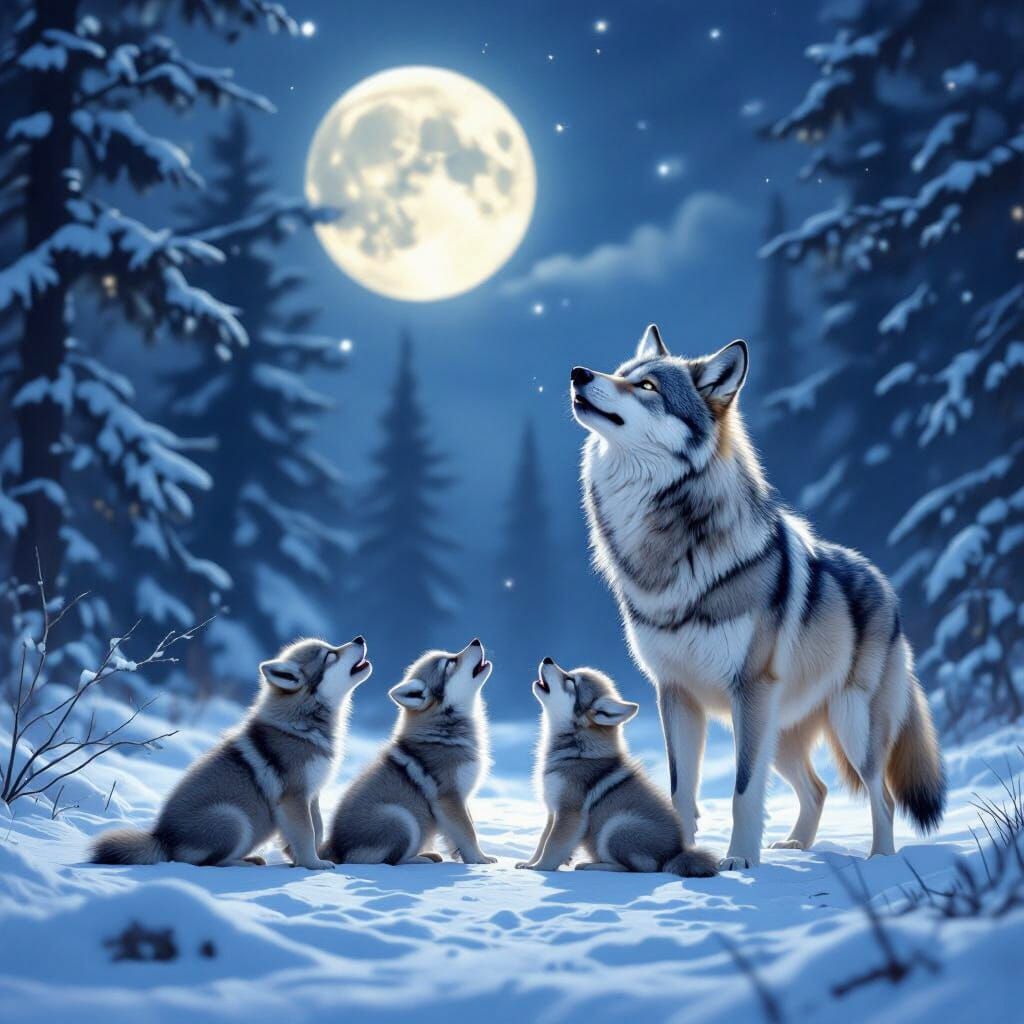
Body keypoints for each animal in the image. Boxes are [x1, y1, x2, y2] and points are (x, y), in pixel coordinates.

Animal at [90, 636, 371, 868]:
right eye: (329, 655)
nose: (360, 638)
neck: (303, 723)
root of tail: (161, 838)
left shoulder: (312, 796)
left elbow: (318, 830)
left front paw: (299, 859)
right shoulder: (294, 797)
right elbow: (307, 833)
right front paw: (313, 865)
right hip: (233, 818)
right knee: (207, 863)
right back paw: (244, 864)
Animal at [323, 639, 496, 865]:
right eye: (450, 663)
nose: (476, 641)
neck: (444, 729)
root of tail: (335, 847)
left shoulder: (460, 800)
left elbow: (461, 833)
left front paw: (466, 856)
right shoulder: (449, 797)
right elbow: (468, 833)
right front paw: (479, 860)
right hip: (401, 819)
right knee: (391, 862)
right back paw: (422, 860)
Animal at [518, 658, 718, 876]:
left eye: (571, 681)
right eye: (570, 673)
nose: (548, 659)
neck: (576, 748)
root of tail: (677, 853)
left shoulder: (569, 812)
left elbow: (552, 846)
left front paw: (539, 869)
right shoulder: (552, 811)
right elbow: (542, 841)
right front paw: (529, 863)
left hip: (616, 827)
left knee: (639, 868)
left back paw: (592, 866)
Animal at [572, 324, 945, 869]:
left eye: (647, 387)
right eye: (620, 373)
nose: (579, 373)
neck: (672, 547)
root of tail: (883, 581)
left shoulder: (748, 690)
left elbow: (743, 790)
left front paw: (740, 861)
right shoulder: (675, 694)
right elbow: (681, 788)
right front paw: (681, 856)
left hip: (848, 726)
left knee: (884, 796)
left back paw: (880, 859)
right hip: (780, 732)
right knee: (818, 789)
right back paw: (797, 845)